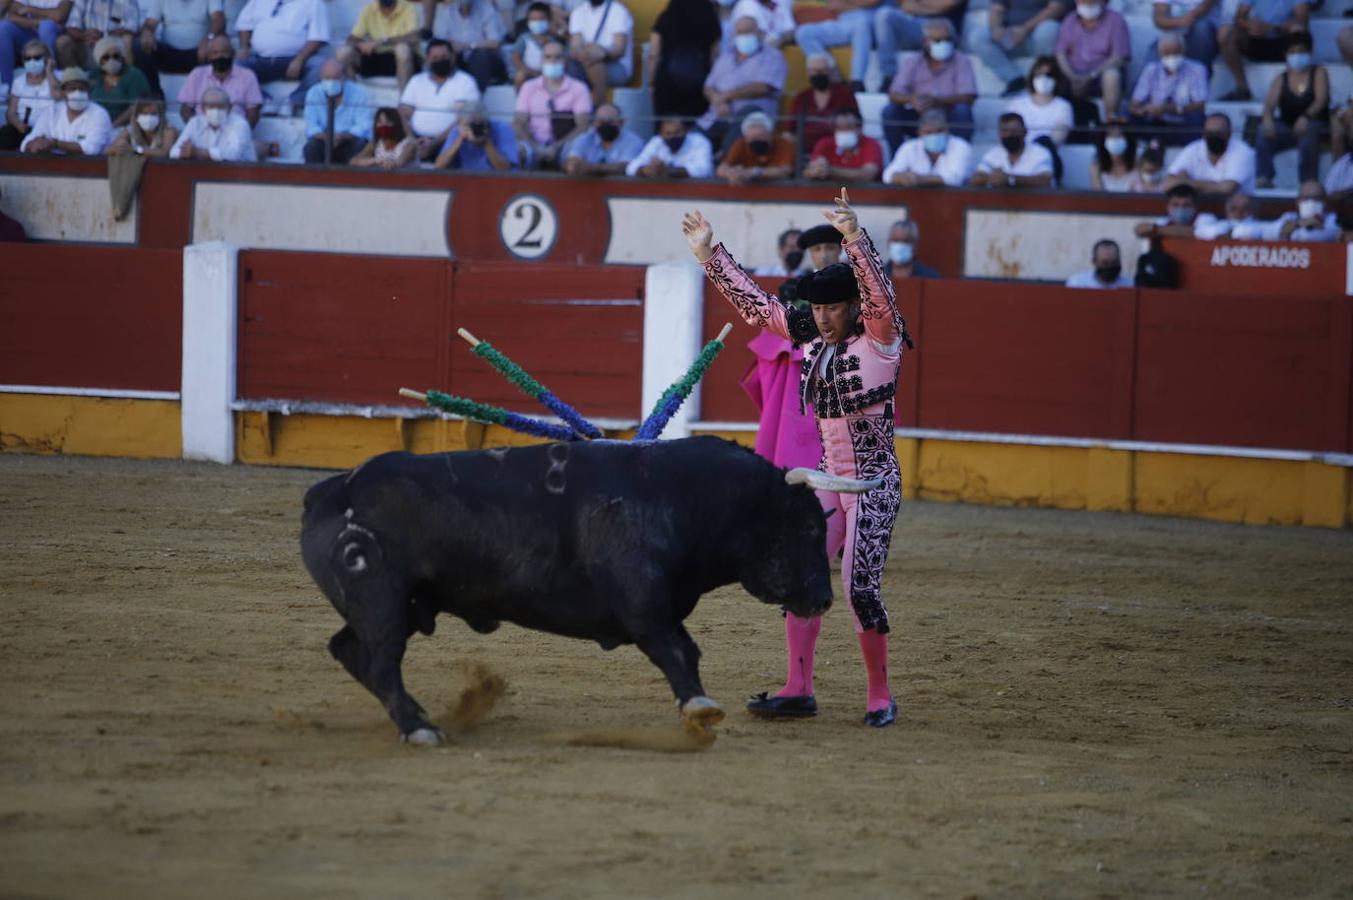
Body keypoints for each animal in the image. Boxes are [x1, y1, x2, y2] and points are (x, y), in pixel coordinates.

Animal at [301, 435, 860, 741]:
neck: (683, 494)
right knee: (379, 661)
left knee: (351, 650)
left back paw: (417, 718)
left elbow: (681, 648)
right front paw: (700, 708)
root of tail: (331, 490)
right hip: (381, 602)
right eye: (809, 528)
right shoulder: (642, 600)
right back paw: (420, 730)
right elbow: (676, 648)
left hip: (397, 607)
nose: (823, 599)